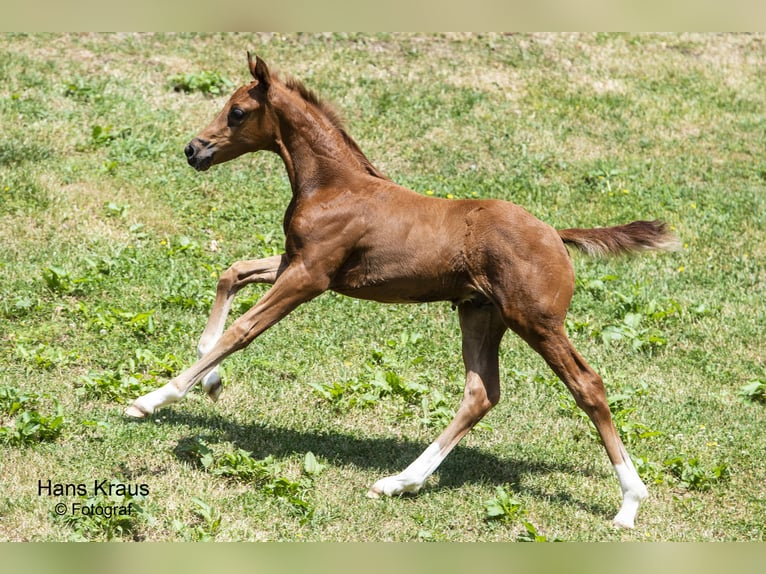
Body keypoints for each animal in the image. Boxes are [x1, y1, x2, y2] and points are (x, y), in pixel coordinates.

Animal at [129, 55, 680, 532]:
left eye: (238, 111)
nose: (194, 150)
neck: (334, 185)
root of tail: (557, 235)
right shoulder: (295, 263)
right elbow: (233, 273)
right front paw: (210, 378)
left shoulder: (310, 277)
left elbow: (243, 330)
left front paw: (154, 398)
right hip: (480, 314)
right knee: (481, 393)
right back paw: (400, 482)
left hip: (536, 321)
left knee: (587, 385)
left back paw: (630, 502)